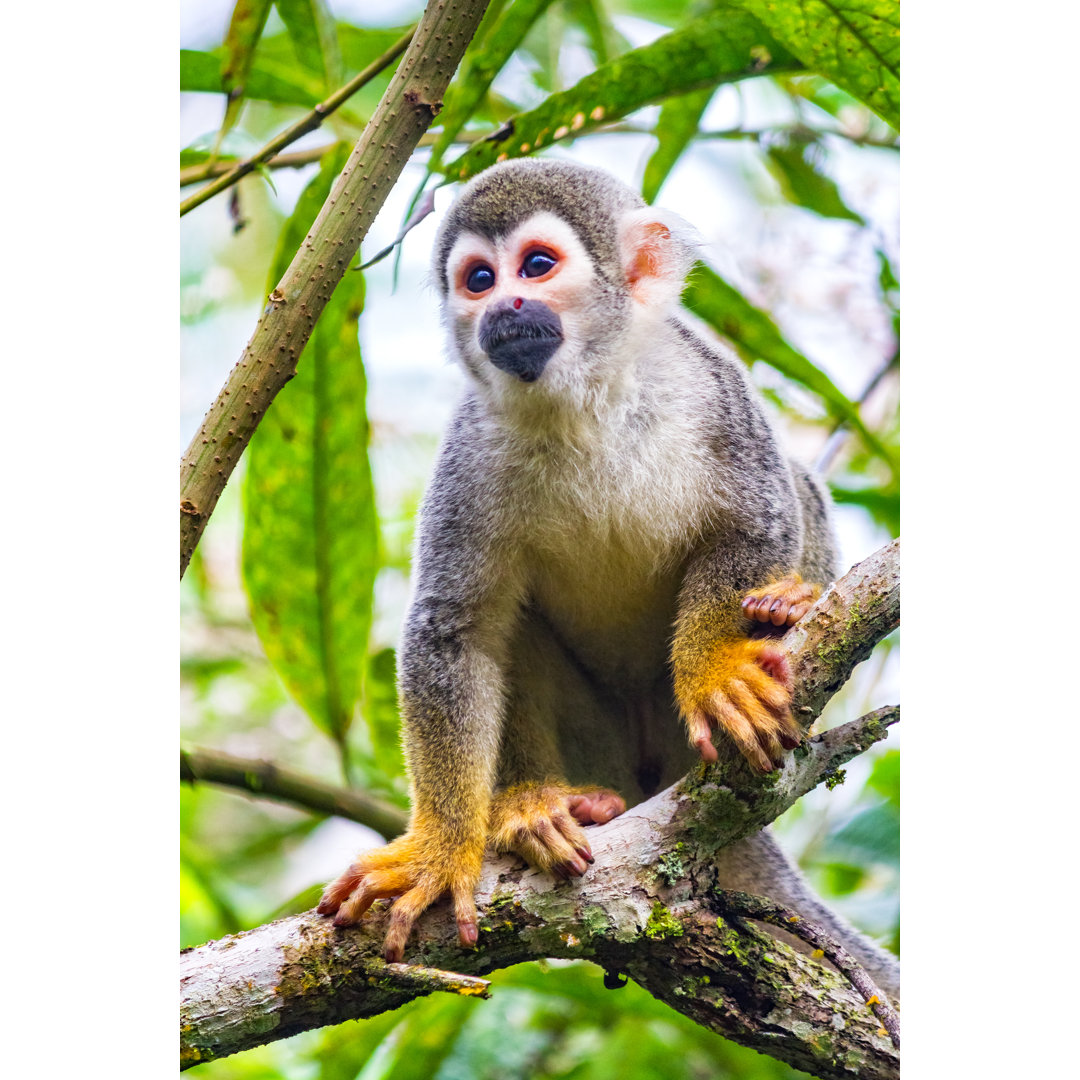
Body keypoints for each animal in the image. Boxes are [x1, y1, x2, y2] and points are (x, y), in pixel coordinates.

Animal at [315, 157, 898, 993]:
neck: (579, 400)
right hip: (603, 754)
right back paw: (532, 807)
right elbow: (456, 633)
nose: (505, 306)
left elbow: (758, 518)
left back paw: (790, 605)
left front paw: (716, 670)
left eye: (536, 266)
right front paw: (439, 848)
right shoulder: (469, 449)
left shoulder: (709, 384)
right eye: (479, 278)